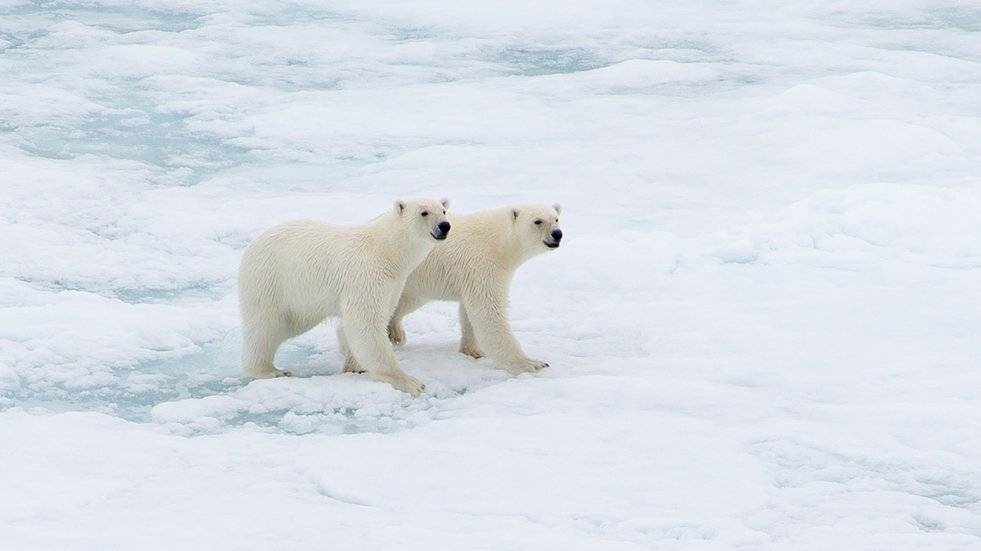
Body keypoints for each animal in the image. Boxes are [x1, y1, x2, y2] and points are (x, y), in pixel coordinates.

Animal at [238, 198, 451, 396]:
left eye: (443, 210)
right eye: (424, 212)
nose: (445, 226)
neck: (388, 253)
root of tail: (251, 248)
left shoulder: (394, 284)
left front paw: (355, 366)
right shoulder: (367, 275)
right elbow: (366, 323)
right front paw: (411, 382)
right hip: (271, 280)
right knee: (266, 327)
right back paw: (270, 370)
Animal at [382, 203, 563, 374]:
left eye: (556, 218)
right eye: (538, 221)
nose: (557, 234)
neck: (498, 242)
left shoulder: (472, 275)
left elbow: (469, 313)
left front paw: (472, 351)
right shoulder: (483, 265)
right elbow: (487, 310)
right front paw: (532, 363)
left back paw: (395, 332)